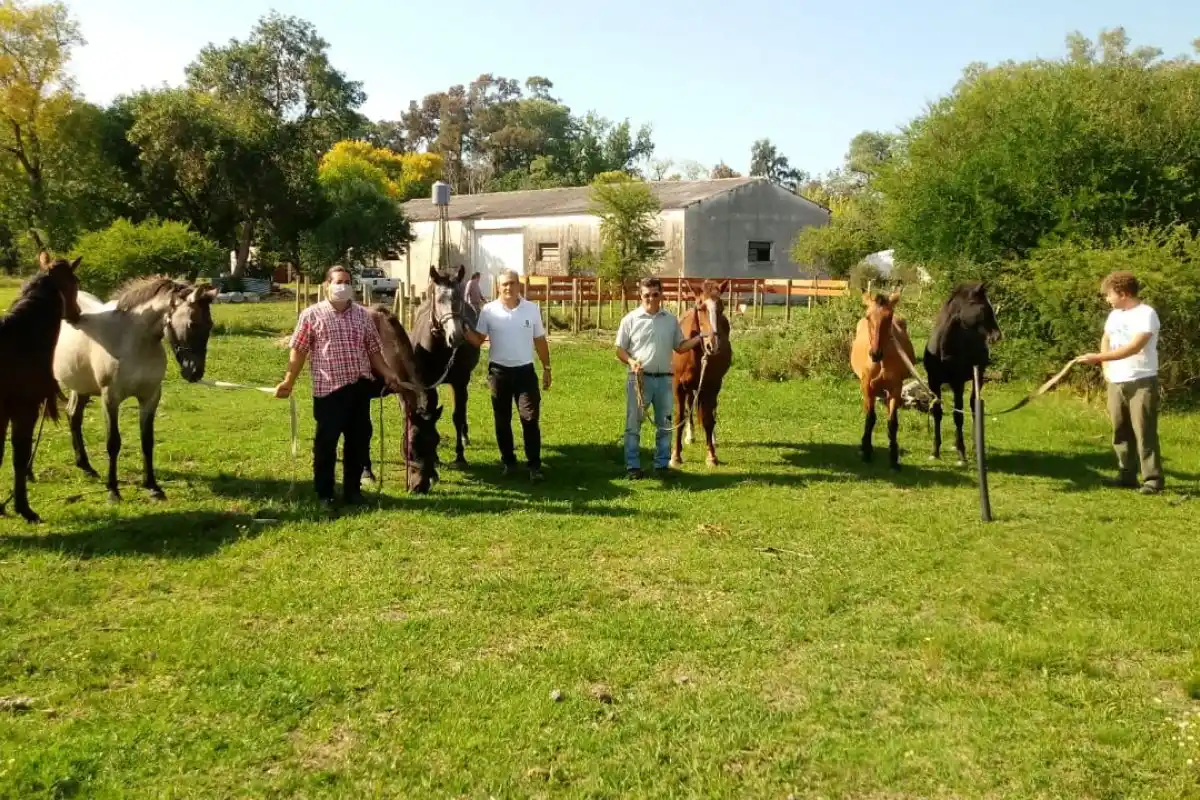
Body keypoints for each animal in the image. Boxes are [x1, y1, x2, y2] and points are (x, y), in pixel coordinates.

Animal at [54, 276, 218, 502]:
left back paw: (86, 467)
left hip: (80, 386)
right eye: (192, 323)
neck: (131, 340)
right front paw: (113, 491)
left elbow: (147, 441)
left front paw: (153, 487)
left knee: (73, 416)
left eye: (210, 325)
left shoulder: (150, 397)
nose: (194, 372)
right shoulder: (110, 398)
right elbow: (113, 443)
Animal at [410, 265, 481, 467]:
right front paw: (434, 457)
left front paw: (460, 455)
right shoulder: (427, 384)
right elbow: (430, 412)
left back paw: (465, 436)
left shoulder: (460, 381)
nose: (455, 337)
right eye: (440, 299)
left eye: (459, 298)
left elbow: (457, 415)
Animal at [671, 279, 732, 467]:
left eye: (721, 307)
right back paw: (689, 436)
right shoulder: (678, 386)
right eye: (700, 307)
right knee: (690, 406)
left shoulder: (711, 385)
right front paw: (675, 456)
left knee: (711, 411)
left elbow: (708, 420)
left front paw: (711, 456)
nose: (713, 345)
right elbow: (679, 418)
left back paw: (713, 438)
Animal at [850, 290, 917, 470]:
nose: (875, 354)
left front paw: (894, 459)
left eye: (889, 316)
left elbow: (892, 422)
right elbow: (870, 418)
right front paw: (866, 452)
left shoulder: (896, 388)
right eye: (868, 317)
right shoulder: (867, 387)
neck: (882, 361)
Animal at [923, 281, 1002, 464]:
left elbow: (957, 415)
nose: (997, 335)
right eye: (984, 307)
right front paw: (935, 451)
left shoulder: (957, 384)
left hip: (978, 376)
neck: (942, 349)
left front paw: (961, 454)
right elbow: (937, 413)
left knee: (973, 405)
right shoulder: (933, 383)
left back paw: (974, 446)